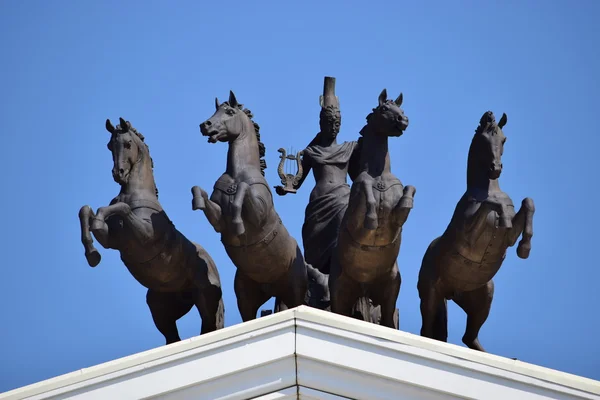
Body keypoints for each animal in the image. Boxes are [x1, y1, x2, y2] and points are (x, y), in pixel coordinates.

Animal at [77, 116, 223, 344]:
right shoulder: (112, 241)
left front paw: (98, 224)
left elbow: (119, 208)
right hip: (161, 307)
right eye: (110, 145)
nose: (118, 174)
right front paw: (92, 253)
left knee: (210, 326)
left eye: (128, 144)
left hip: (207, 300)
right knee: (172, 337)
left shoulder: (145, 237)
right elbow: (85, 210)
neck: (135, 193)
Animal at [191, 92, 308, 320]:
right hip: (246, 296)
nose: (205, 125)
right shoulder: (218, 217)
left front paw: (238, 224)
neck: (237, 174)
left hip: (295, 291)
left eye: (229, 111)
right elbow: (200, 193)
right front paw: (197, 202)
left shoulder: (259, 215)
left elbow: (243, 191)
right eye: (215, 111)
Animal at [328, 90, 418, 328]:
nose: (403, 121)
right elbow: (367, 195)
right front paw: (372, 219)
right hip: (340, 292)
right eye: (384, 109)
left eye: (401, 109)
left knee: (387, 320)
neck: (379, 176)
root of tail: (364, 288)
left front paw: (402, 211)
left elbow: (409, 189)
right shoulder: (356, 218)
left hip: (390, 291)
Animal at [418, 111, 536, 352]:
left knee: (469, 337)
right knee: (427, 330)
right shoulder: (468, 240)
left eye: (503, 139)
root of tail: (452, 292)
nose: (495, 168)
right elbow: (491, 204)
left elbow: (528, 203)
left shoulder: (509, 237)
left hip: (483, 297)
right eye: (483, 139)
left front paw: (524, 248)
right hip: (431, 295)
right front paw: (503, 220)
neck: (486, 189)